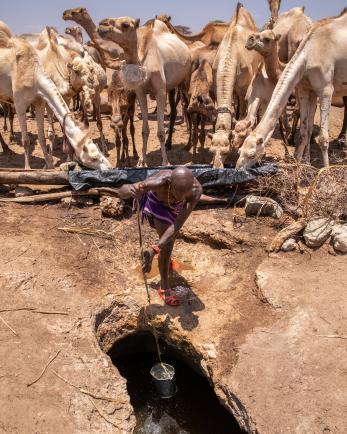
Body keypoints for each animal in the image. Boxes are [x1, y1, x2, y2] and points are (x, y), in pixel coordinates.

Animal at [0, 21, 111, 170]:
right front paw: (28, 168)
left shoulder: (40, 101)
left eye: (99, 153)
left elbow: (43, 137)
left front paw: (50, 164)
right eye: (94, 158)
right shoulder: (20, 103)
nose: (110, 167)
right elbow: (29, 139)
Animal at [98, 17, 192, 166]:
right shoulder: (140, 93)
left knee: (183, 109)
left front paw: (165, 162)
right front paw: (142, 162)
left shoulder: (160, 92)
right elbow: (144, 131)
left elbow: (160, 132)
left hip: (183, 81)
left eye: (126, 24)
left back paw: (179, 143)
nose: (102, 24)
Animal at [209, 3, 260, 168]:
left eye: (225, 152)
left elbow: (244, 114)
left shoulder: (244, 91)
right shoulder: (216, 86)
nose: (217, 166)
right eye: (212, 151)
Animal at [238, 8, 347, 168]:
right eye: (240, 151)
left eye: (251, 155)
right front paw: (301, 163)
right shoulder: (305, 89)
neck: (308, 54)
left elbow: (322, 137)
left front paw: (326, 169)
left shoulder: (326, 89)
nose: (237, 168)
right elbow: (305, 130)